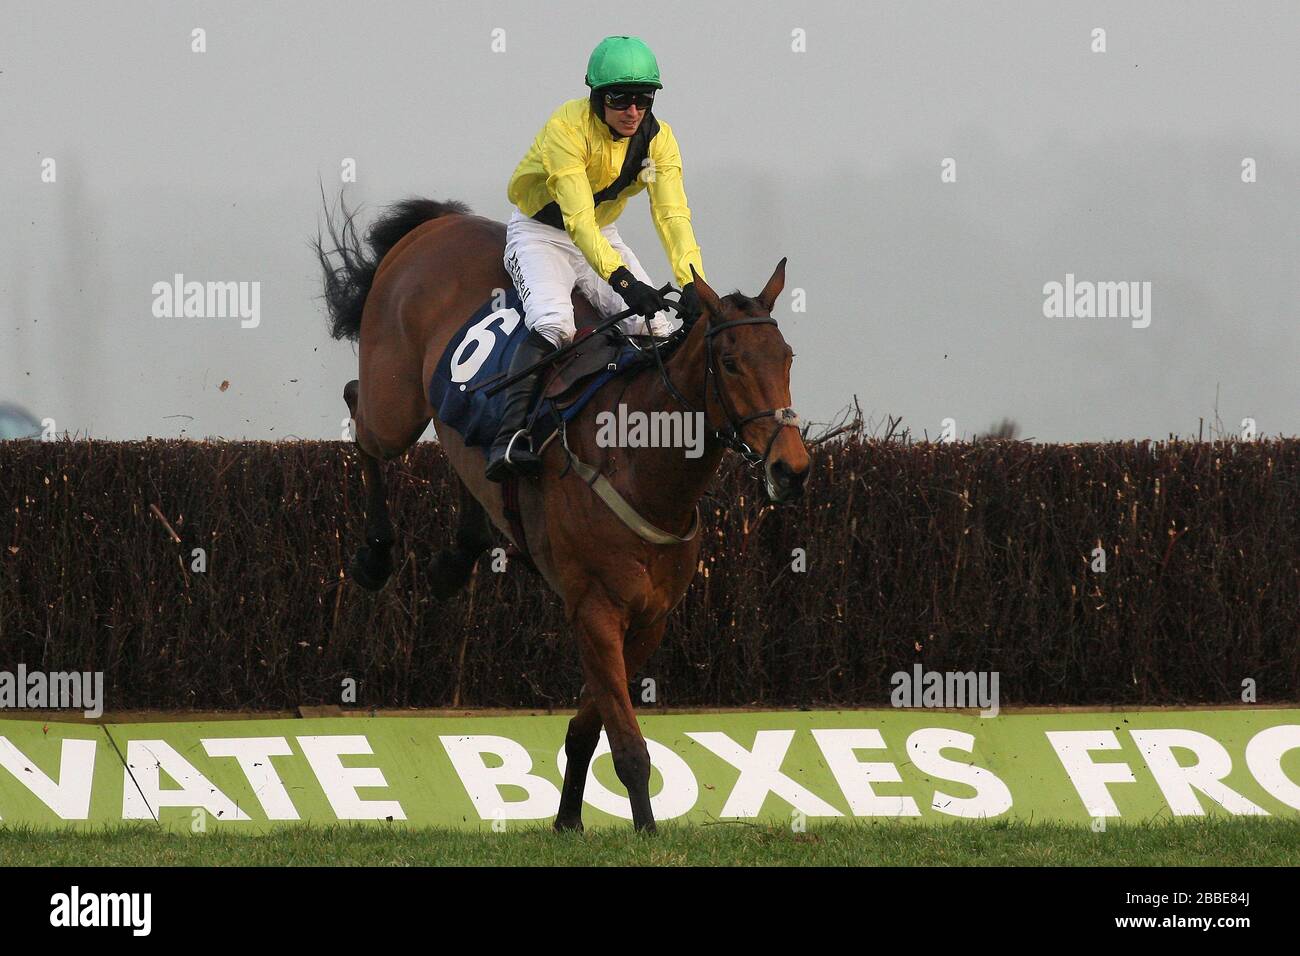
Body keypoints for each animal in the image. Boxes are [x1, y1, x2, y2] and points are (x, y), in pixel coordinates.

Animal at [314, 196, 806, 832]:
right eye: (730, 361)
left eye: (786, 357)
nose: (792, 468)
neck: (639, 464)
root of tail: (438, 222)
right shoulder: (594, 609)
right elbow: (628, 744)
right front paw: (646, 829)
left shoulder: (648, 619)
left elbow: (587, 728)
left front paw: (568, 818)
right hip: (394, 402)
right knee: (362, 410)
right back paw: (375, 555)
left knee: (461, 461)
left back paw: (455, 560)